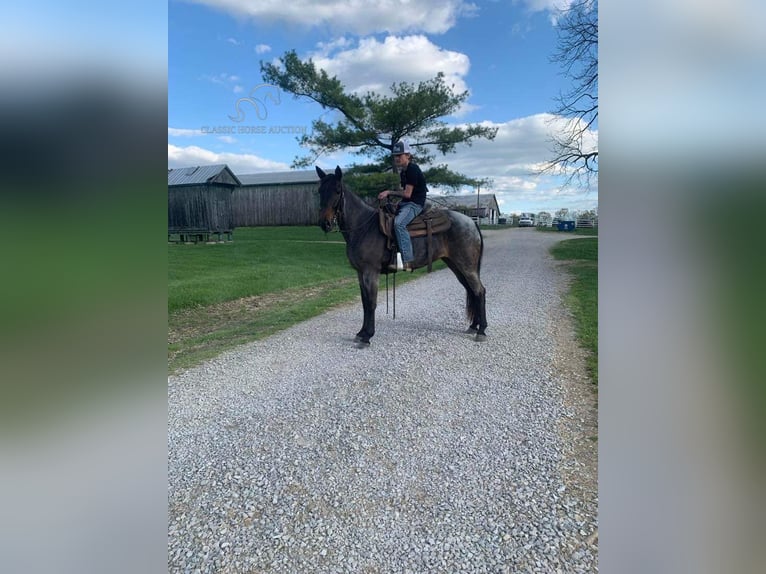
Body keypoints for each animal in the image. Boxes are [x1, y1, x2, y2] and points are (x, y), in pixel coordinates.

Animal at [316, 166, 486, 346]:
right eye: (319, 190)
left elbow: (371, 303)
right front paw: (361, 333)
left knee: (479, 291)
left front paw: (367, 336)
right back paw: (473, 326)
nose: (325, 223)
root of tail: (471, 222)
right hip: (456, 265)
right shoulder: (360, 273)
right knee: (471, 290)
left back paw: (481, 331)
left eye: (337, 190)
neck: (363, 228)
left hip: (467, 267)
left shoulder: (371, 272)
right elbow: (364, 303)